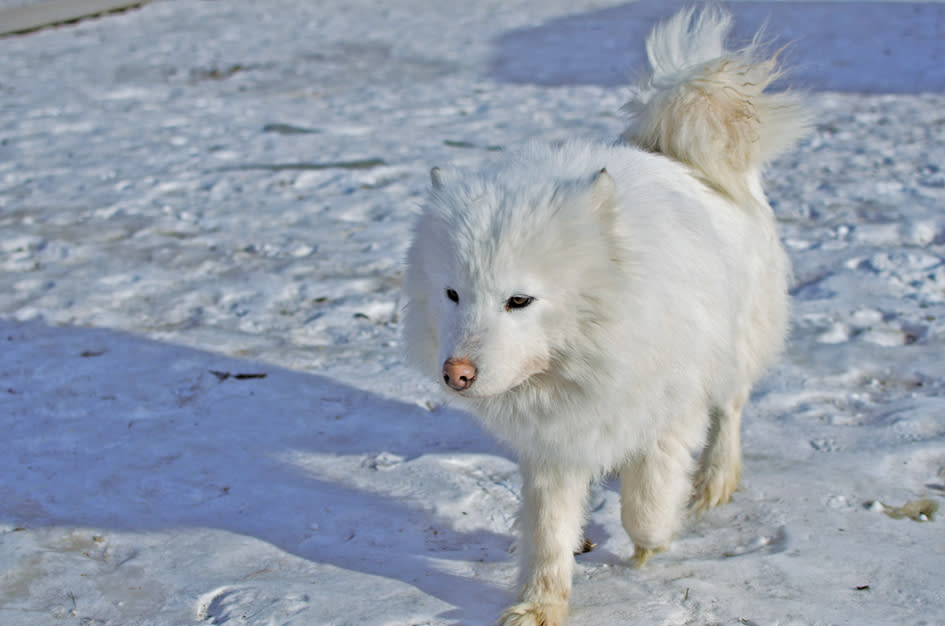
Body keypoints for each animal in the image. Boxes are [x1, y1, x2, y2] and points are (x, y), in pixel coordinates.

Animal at [402, 6, 808, 624]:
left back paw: (714, 483)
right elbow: (547, 532)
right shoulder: (553, 447)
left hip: (735, 349)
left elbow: (646, 503)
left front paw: (651, 545)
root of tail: (679, 150)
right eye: (452, 294)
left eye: (519, 300)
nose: (457, 374)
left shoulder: (669, 414)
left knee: (731, 413)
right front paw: (540, 605)